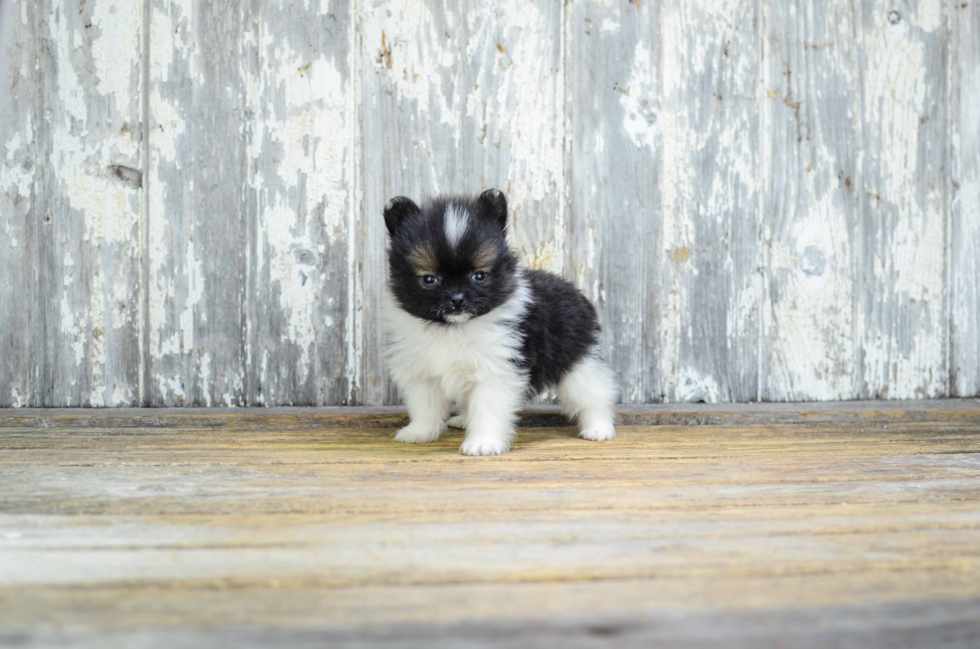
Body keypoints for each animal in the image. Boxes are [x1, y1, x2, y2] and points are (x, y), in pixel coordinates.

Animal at [380, 186, 612, 456]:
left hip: (578, 364)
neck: (455, 328)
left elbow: (487, 410)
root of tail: (575, 292)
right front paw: (420, 432)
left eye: (479, 276)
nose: (457, 299)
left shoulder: (496, 372)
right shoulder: (421, 373)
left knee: (594, 396)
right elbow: (425, 406)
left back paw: (599, 429)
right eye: (429, 280)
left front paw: (483, 443)